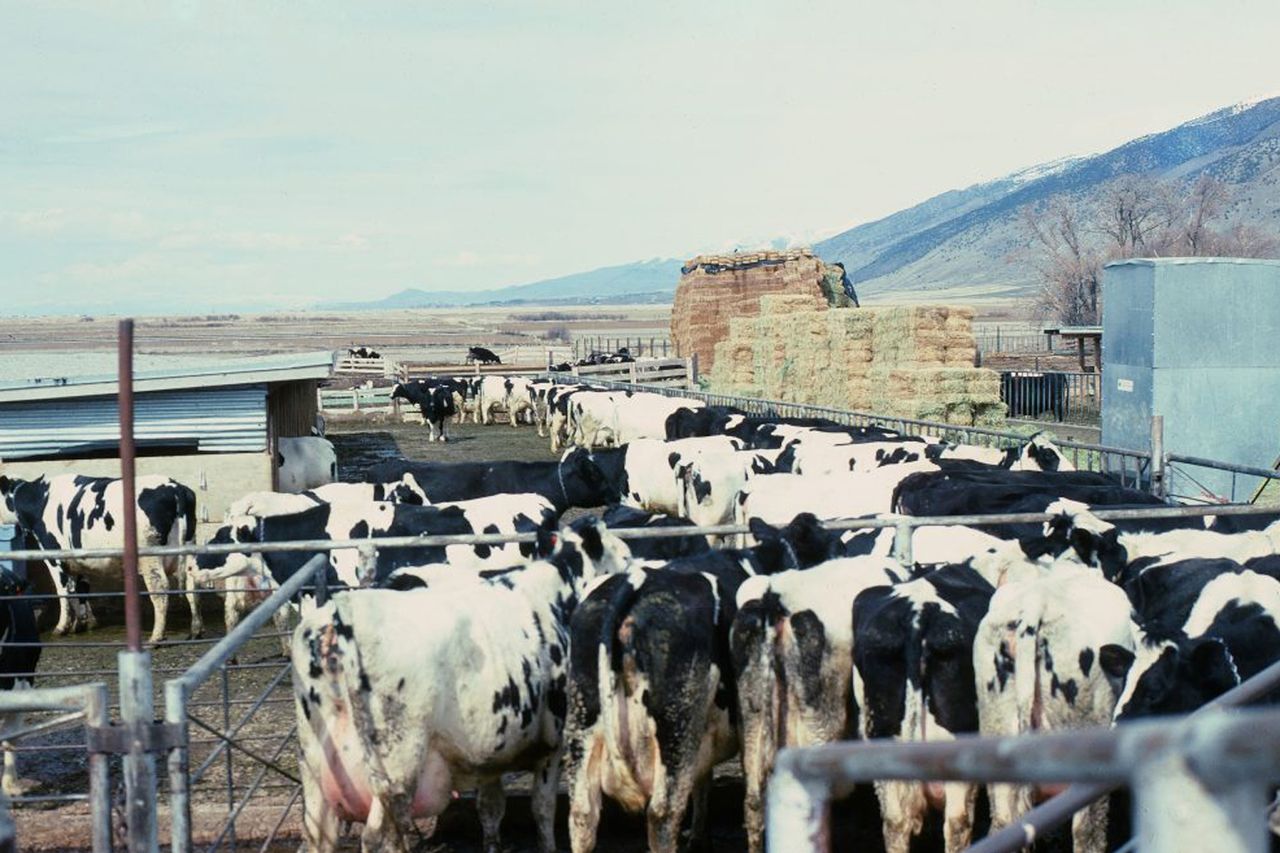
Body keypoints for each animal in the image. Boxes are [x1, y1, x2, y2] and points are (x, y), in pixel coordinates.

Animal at [0, 473, 199, 642]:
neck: (40, 500)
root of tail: (174, 487)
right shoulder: (77, 560)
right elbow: (80, 589)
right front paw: (83, 623)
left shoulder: (54, 557)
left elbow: (63, 591)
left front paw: (62, 627)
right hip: (188, 549)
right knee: (191, 585)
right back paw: (196, 630)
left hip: (150, 556)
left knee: (160, 589)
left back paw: (157, 636)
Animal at [291, 520, 630, 853]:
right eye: (625, 557)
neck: (560, 597)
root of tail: (338, 615)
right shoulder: (553, 742)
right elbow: (543, 809)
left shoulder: (493, 749)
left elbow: (491, 807)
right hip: (396, 771)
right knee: (378, 837)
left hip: (316, 767)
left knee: (320, 834)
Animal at [567, 514, 847, 853]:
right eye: (835, 545)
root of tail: (636, 583)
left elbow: (705, 779)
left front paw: (700, 837)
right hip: (677, 722)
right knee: (663, 813)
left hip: (583, 720)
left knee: (582, 813)